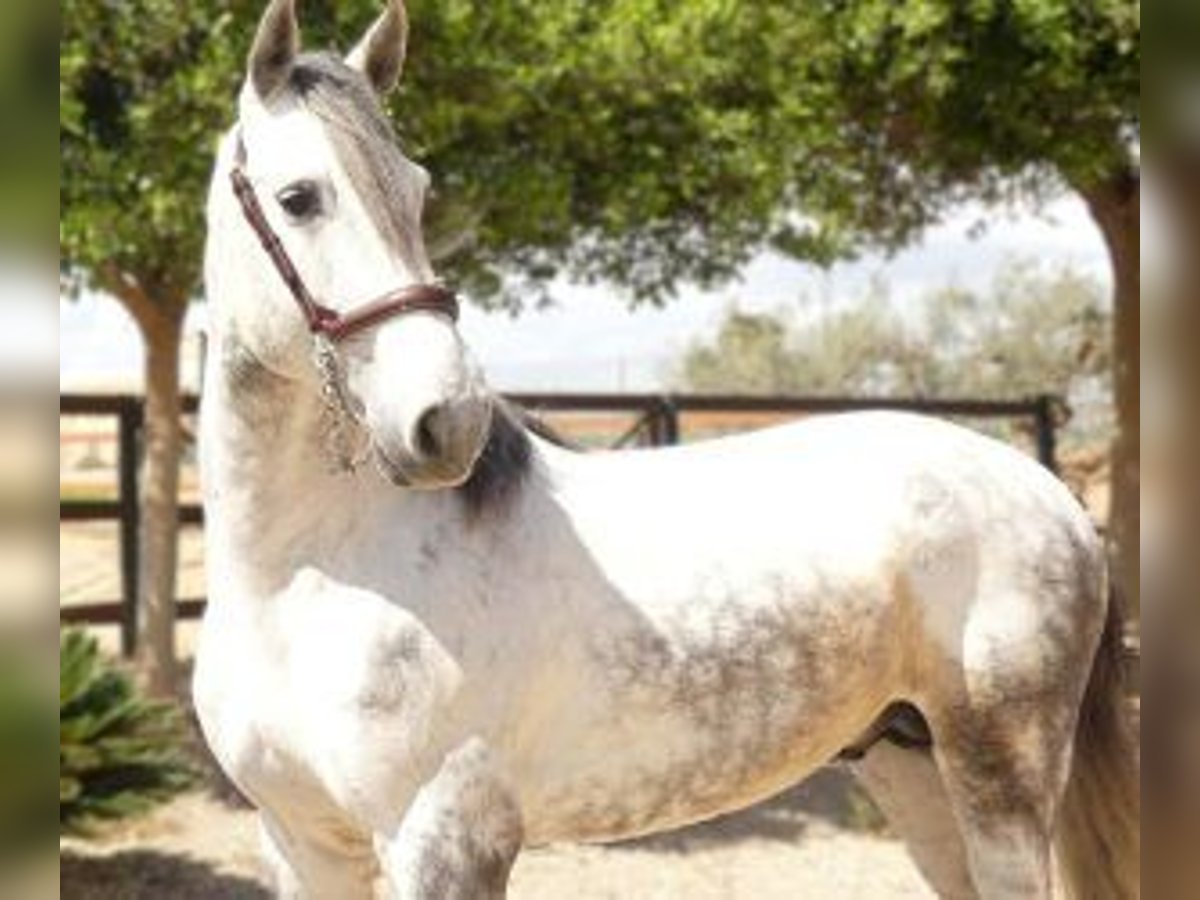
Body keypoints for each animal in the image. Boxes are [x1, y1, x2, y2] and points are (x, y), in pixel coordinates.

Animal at [194, 3, 1132, 897]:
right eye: (299, 197)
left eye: (418, 193)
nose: (445, 420)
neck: (307, 574)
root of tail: (1049, 493)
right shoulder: (302, 842)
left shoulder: (443, 841)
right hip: (910, 764)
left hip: (999, 774)